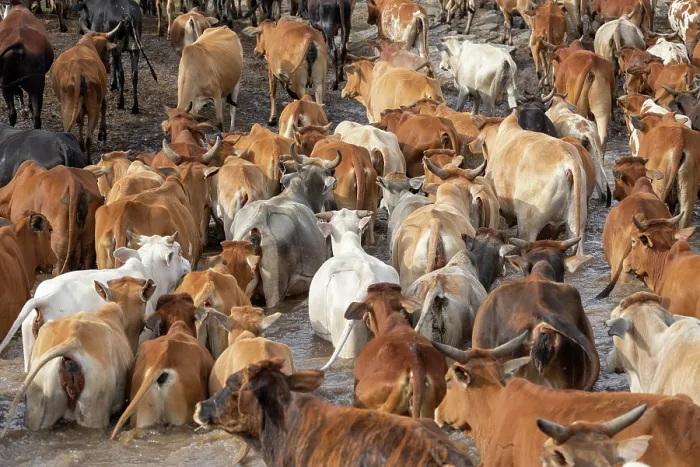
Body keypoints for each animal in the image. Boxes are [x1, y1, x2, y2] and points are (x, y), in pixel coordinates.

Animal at [52, 30, 119, 164]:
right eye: (107, 51)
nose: (108, 68)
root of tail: (78, 71)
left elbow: (80, 121)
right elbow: (103, 107)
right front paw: (102, 132)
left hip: (68, 108)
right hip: (92, 108)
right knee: (88, 137)